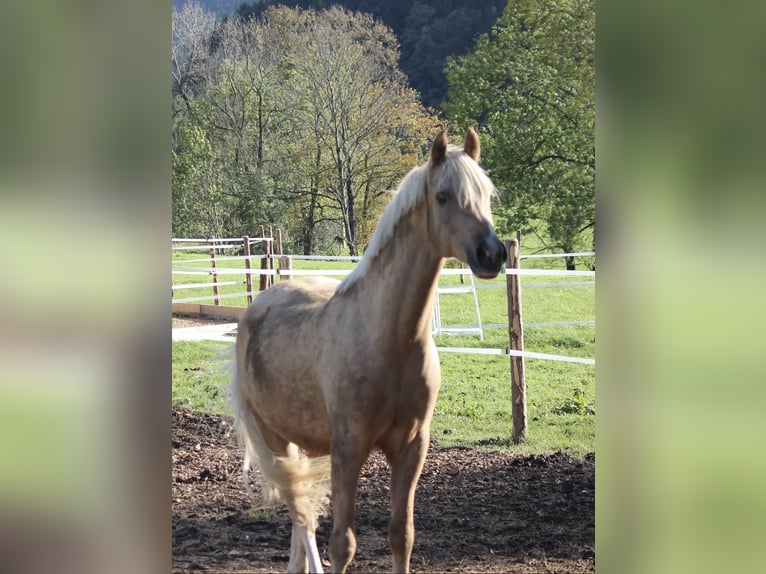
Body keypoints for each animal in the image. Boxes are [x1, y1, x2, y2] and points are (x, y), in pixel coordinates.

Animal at [234, 130, 510, 574]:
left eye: (487, 194)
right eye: (443, 196)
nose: (492, 254)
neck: (389, 340)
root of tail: (258, 306)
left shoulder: (411, 449)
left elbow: (402, 536)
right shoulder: (348, 450)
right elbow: (342, 544)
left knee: (301, 514)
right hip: (274, 438)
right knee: (301, 513)